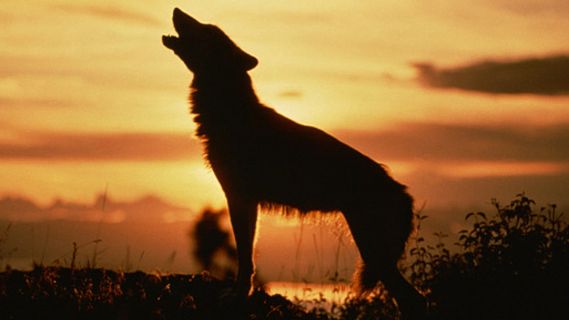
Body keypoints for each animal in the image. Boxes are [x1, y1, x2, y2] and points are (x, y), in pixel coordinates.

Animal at [162, 8, 424, 318]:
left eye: (207, 29)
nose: (176, 10)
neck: (231, 113)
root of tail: (402, 191)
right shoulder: (247, 201)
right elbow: (248, 257)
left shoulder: (239, 197)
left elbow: (244, 258)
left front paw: (237, 297)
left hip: (371, 250)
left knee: (413, 298)